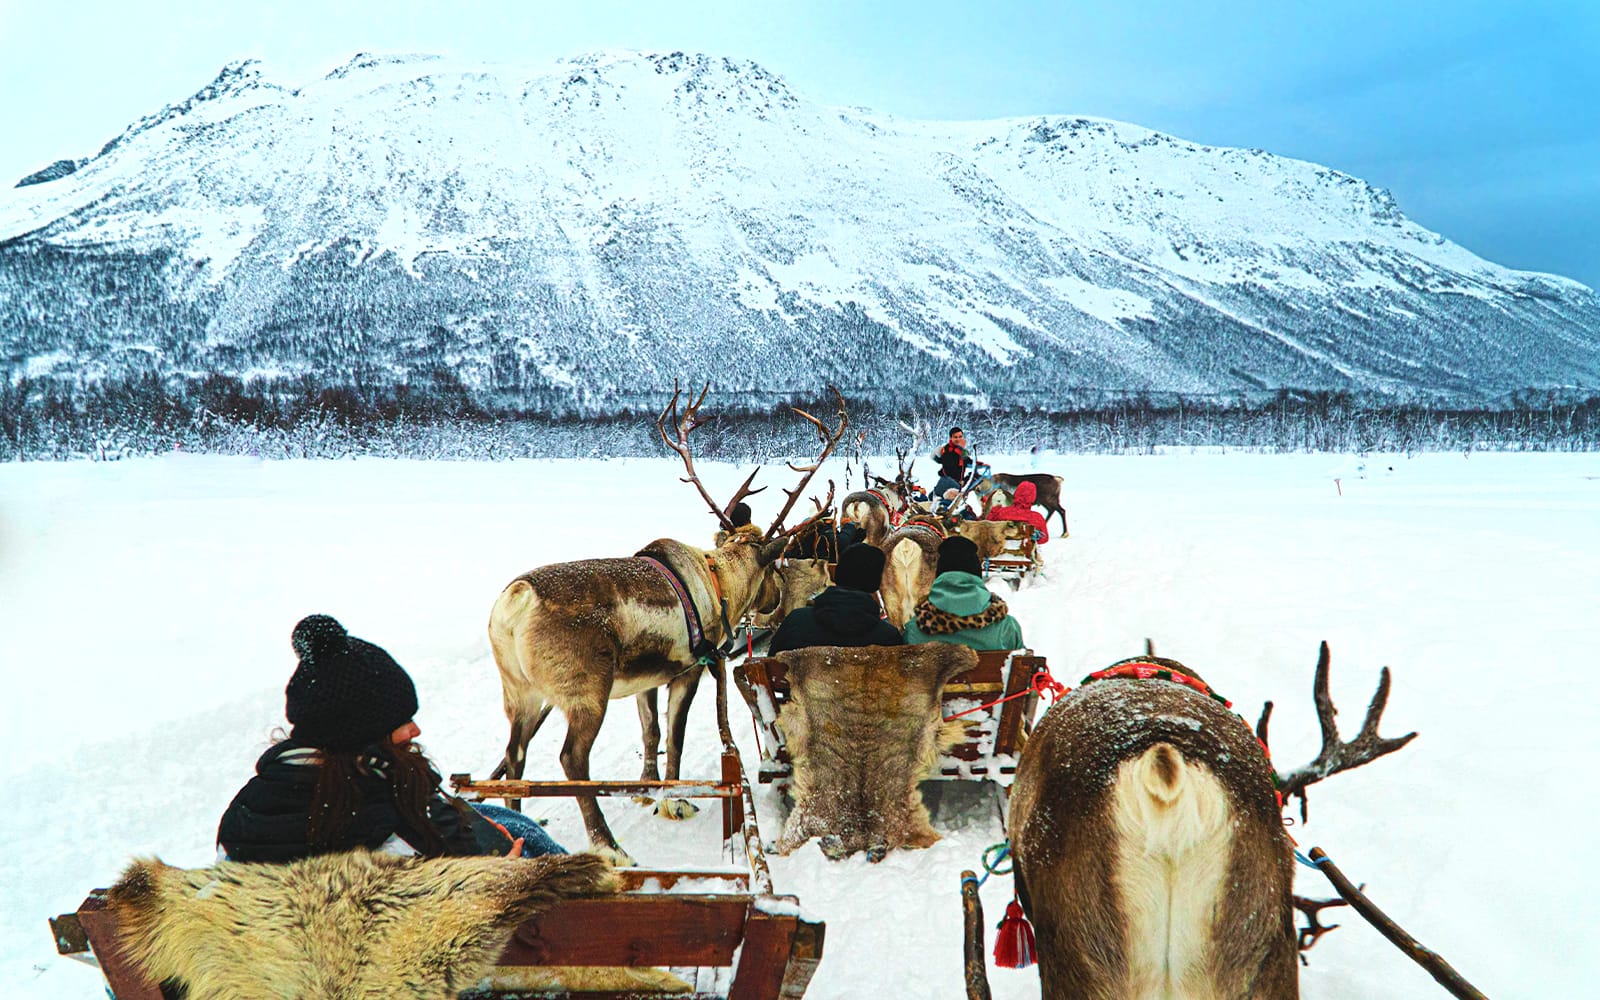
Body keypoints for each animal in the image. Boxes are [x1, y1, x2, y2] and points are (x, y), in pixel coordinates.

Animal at [487, 383, 847, 857]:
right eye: (773, 567)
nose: (775, 600)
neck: (720, 582)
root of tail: (517, 601)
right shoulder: (687, 670)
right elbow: (675, 735)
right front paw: (675, 801)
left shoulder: (647, 679)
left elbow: (651, 734)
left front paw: (646, 791)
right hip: (587, 691)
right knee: (571, 759)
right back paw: (609, 846)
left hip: (520, 691)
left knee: (515, 753)